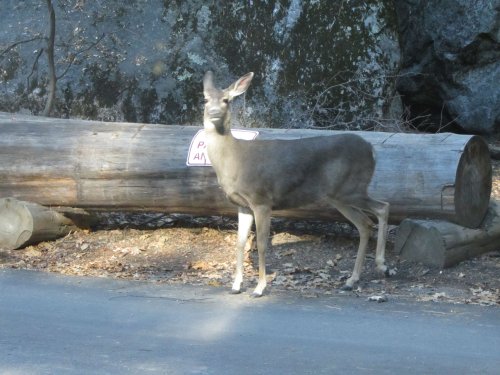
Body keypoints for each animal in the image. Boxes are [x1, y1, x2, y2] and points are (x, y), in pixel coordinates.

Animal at [202, 72, 390, 298]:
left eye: (226, 100)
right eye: (205, 99)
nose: (213, 112)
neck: (232, 159)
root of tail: (371, 149)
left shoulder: (262, 200)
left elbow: (262, 244)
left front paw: (259, 288)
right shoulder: (242, 204)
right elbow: (240, 243)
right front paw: (236, 286)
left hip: (352, 188)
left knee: (383, 207)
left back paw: (382, 266)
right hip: (339, 196)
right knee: (365, 223)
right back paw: (352, 280)